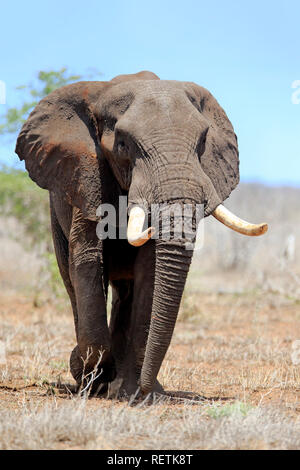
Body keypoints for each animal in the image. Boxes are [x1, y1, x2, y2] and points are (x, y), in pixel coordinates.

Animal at [14, 70, 268, 398]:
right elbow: (87, 259)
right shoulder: (87, 174)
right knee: (70, 279)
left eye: (202, 142)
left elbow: (149, 269)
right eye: (123, 145)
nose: (148, 387)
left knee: (126, 291)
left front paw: (136, 393)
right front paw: (88, 375)